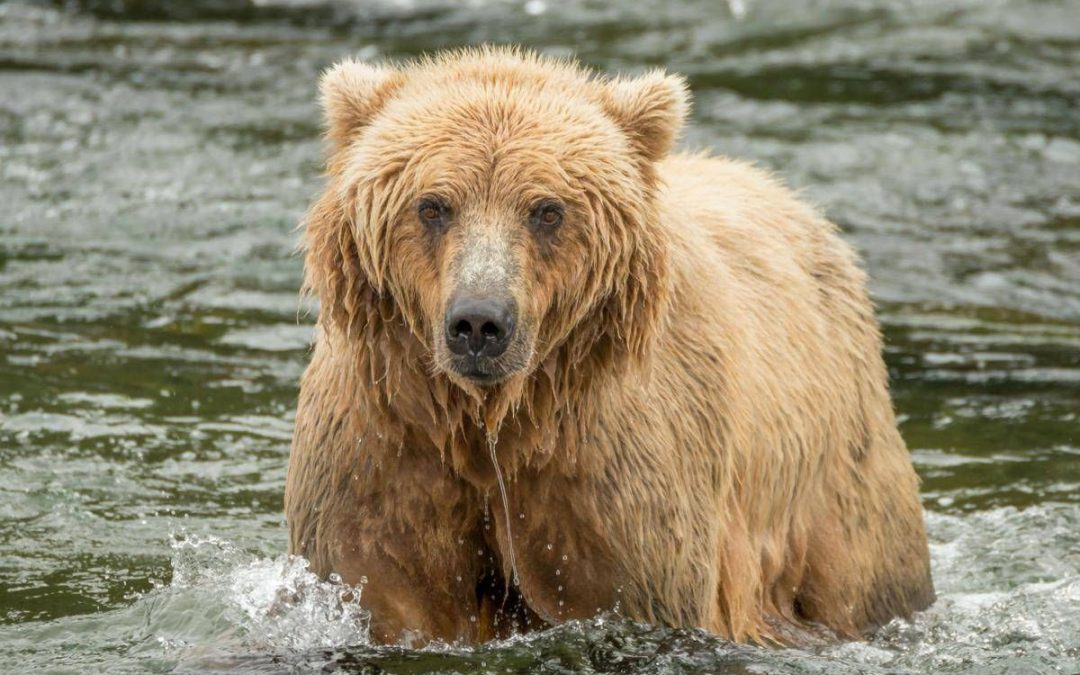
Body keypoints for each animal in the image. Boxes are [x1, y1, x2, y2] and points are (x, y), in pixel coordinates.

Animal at [285, 46, 934, 646]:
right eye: (432, 205)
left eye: (547, 210)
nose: (479, 323)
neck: (496, 422)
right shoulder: (385, 442)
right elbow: (387, 584)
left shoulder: (616, 468)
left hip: (838, 480)